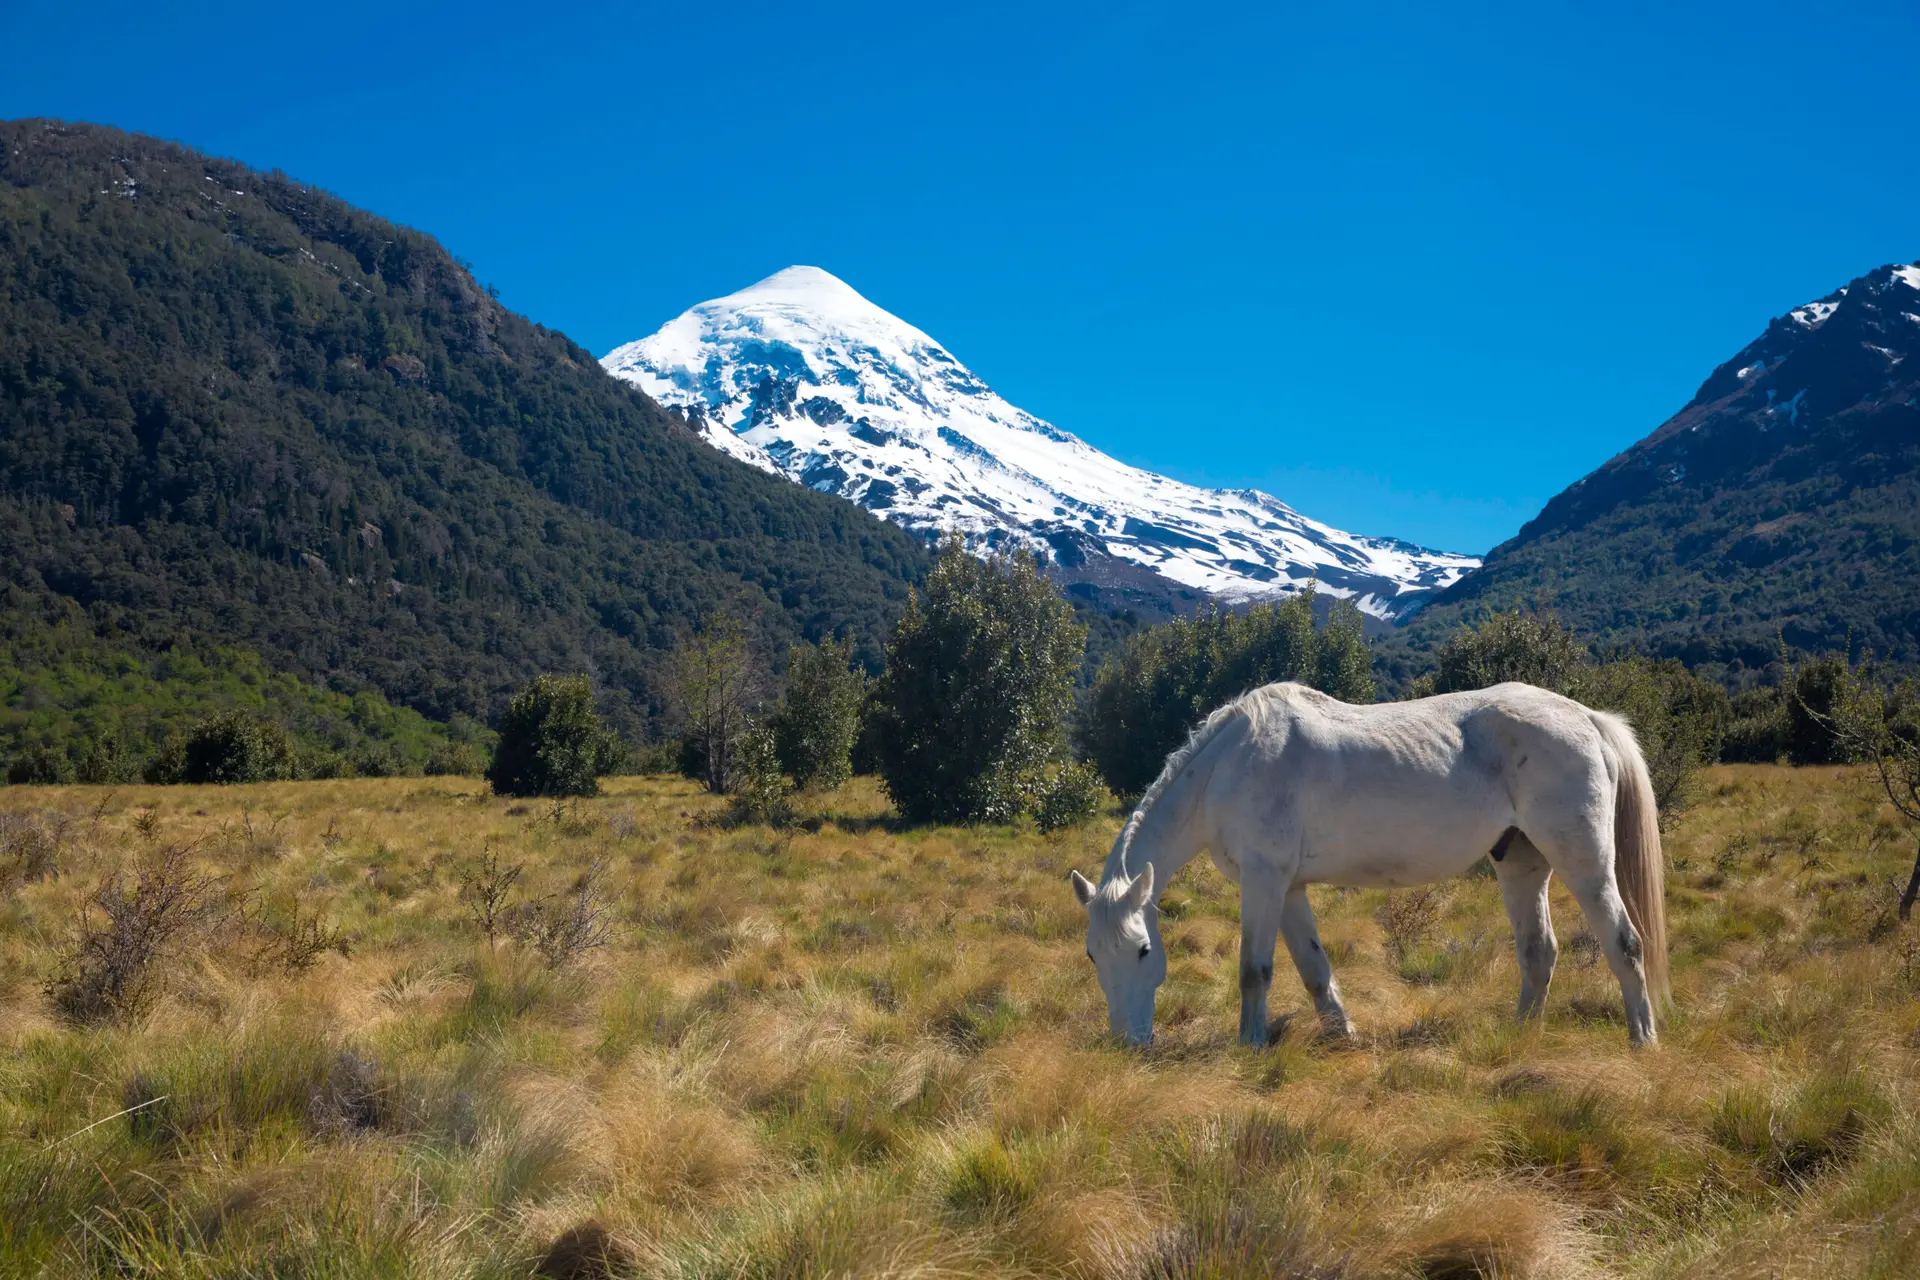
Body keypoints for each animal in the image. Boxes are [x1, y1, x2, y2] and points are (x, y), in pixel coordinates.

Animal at [1068, 681, 1668, 1048]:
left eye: (1144, 950)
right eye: (1094, 955)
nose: (1128, 1044)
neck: (1230, 766)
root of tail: (1587, 717)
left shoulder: (1263, 882)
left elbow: (1254, 971)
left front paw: (1250, 1045)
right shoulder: (1287, 889)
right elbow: (1313, 969)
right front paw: (1343, 1035)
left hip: (1585, 862)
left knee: (1625, 944)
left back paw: (1643, 1039)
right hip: (1522, 865)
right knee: (1539, 952)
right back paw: (1520, 1036)